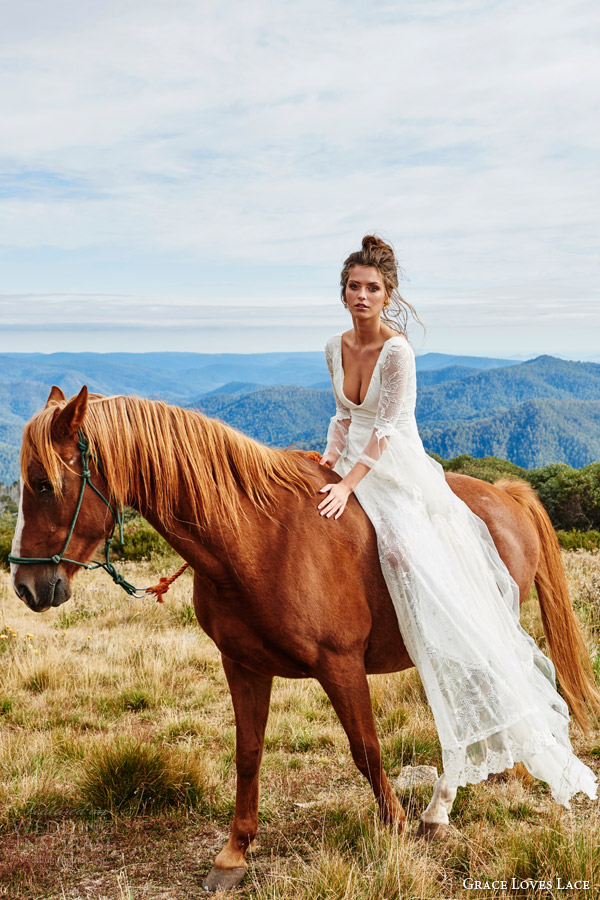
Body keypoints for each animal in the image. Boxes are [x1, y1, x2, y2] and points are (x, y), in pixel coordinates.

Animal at [10, 384, 600, 892]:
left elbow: (365, 749)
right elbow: (248, 753)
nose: (25, 585)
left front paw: (396, 829)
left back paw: (439, 810)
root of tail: (506, 496)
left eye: (43, 484)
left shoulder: (341, 665)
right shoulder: (242, 665)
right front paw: (234, 853)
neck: (258, 537)